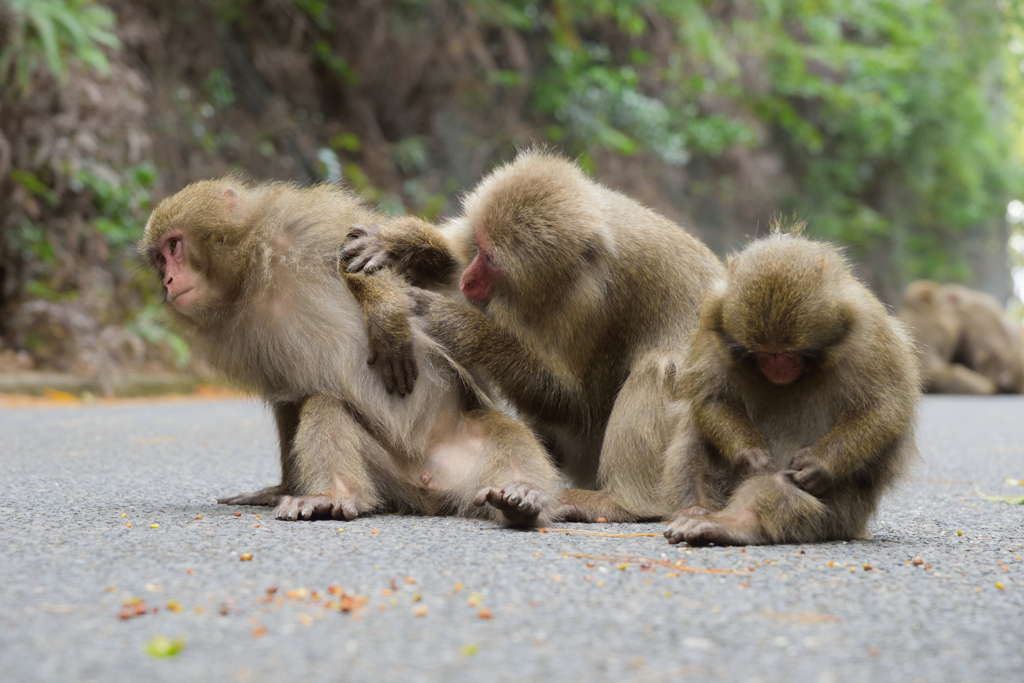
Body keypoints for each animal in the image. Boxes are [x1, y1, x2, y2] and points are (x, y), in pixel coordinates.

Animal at [138, 179, 561, 528]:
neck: (252, 279)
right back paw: (335, 496)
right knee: (324, 403)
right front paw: (280, 489)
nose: (169, 281)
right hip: (389, 480)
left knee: (505, 431)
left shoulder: (300, 223)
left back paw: (523, 499)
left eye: (174, 245)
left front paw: (385, 312)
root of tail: (428, 486)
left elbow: (402, 265)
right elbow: (289, 399)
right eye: (159, 259)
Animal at [339, 149, 724, 524]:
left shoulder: (591, 308)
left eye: (492, 262)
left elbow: (575, 405)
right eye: (479, 246)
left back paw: (622, 504)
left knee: (661, 370)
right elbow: (448, 258)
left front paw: (457, 324)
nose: (469, 279)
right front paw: (399, 245)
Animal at [659, 227, 925, 548]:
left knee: (781, 487)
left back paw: (738, 524)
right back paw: (695, 510)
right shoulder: (712, 314)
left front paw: (819, 465)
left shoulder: (869, 329)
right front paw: (750, 455)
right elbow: (712, 398)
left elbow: (886, 407)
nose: (778, 369)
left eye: (790, 353)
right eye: (764, 354)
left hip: (841, 514)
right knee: (694, 436)